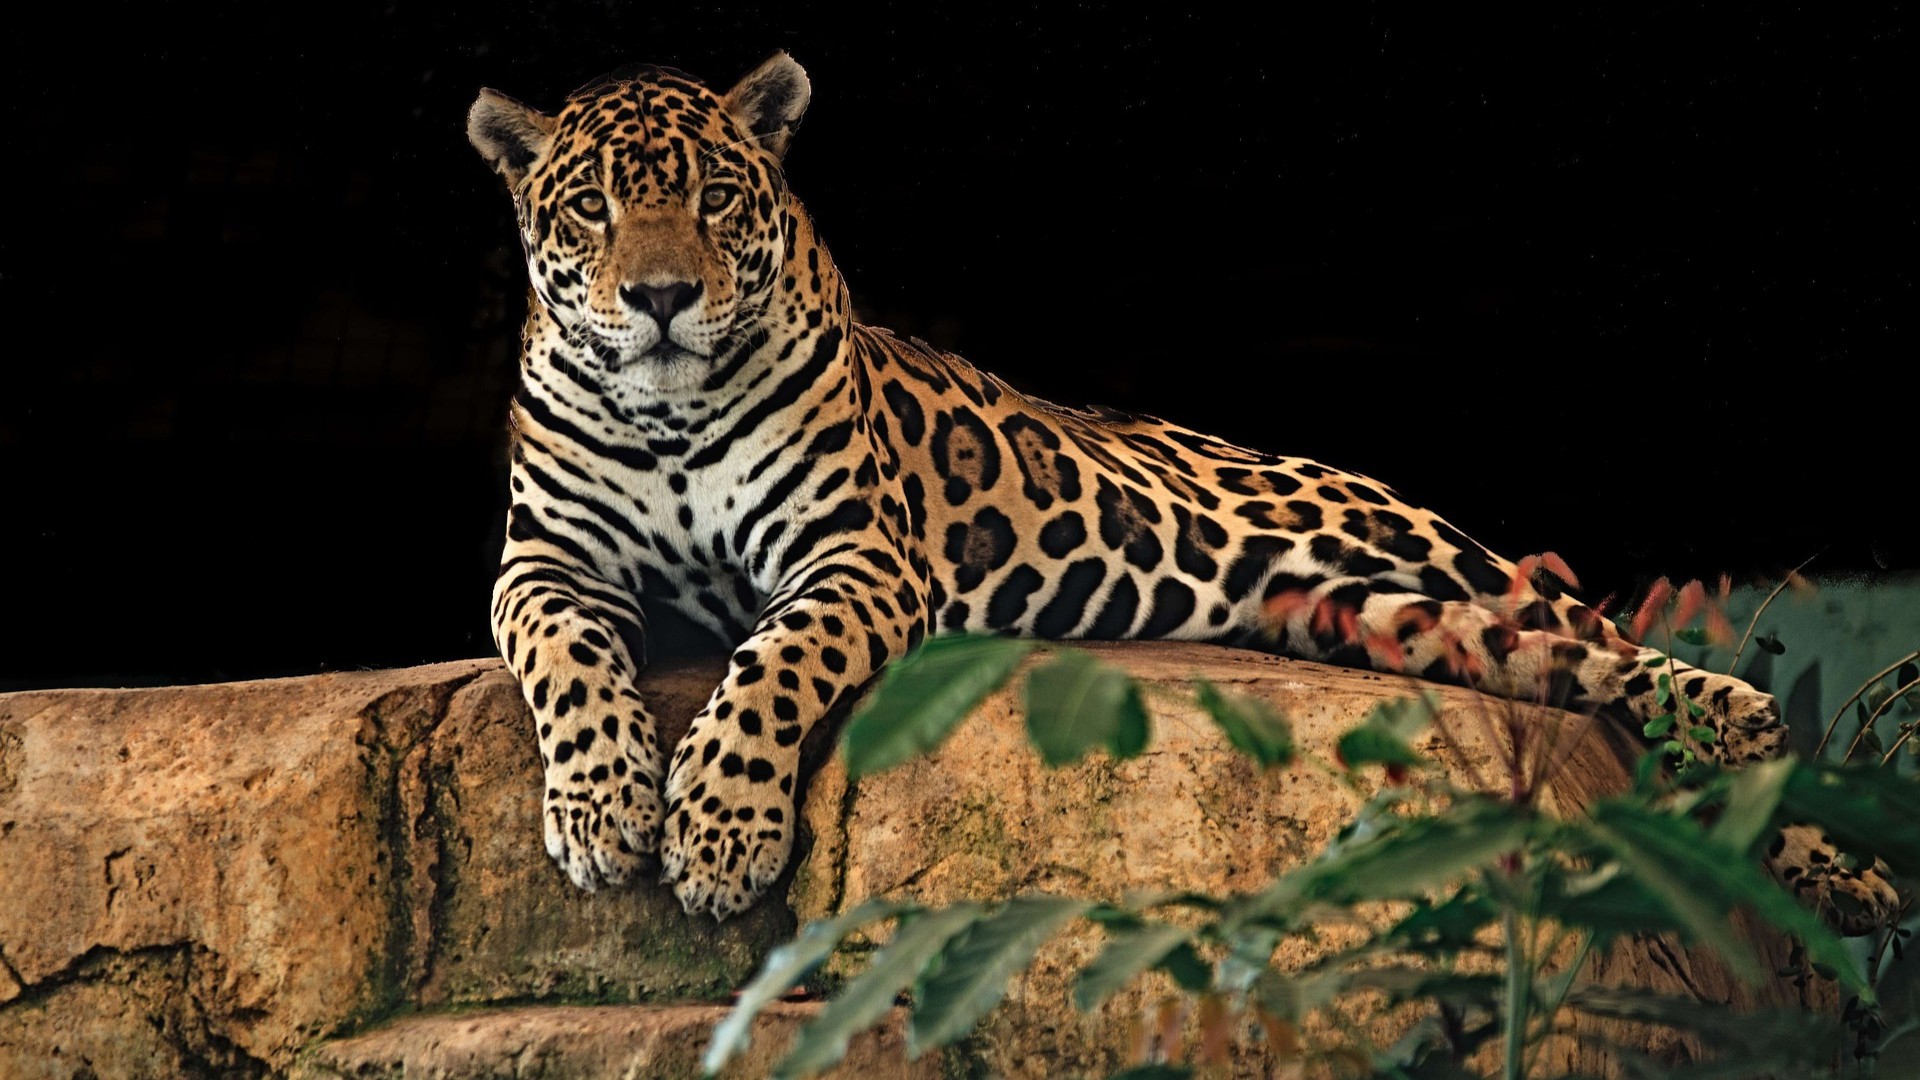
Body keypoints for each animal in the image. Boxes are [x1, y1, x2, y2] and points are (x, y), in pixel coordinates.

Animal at [466, 52, 1897, 932]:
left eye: (714, 197)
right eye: (591, 210)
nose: (662, 297)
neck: (669, 414)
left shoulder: (853, 555)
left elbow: (771, 668)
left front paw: (715, 836)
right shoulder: (544, 563)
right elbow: (563, 659)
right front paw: (600, 813)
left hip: (1429, 548)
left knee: (1644, 655)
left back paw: (1831, 852)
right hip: (1386, 620)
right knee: (1603, 679)